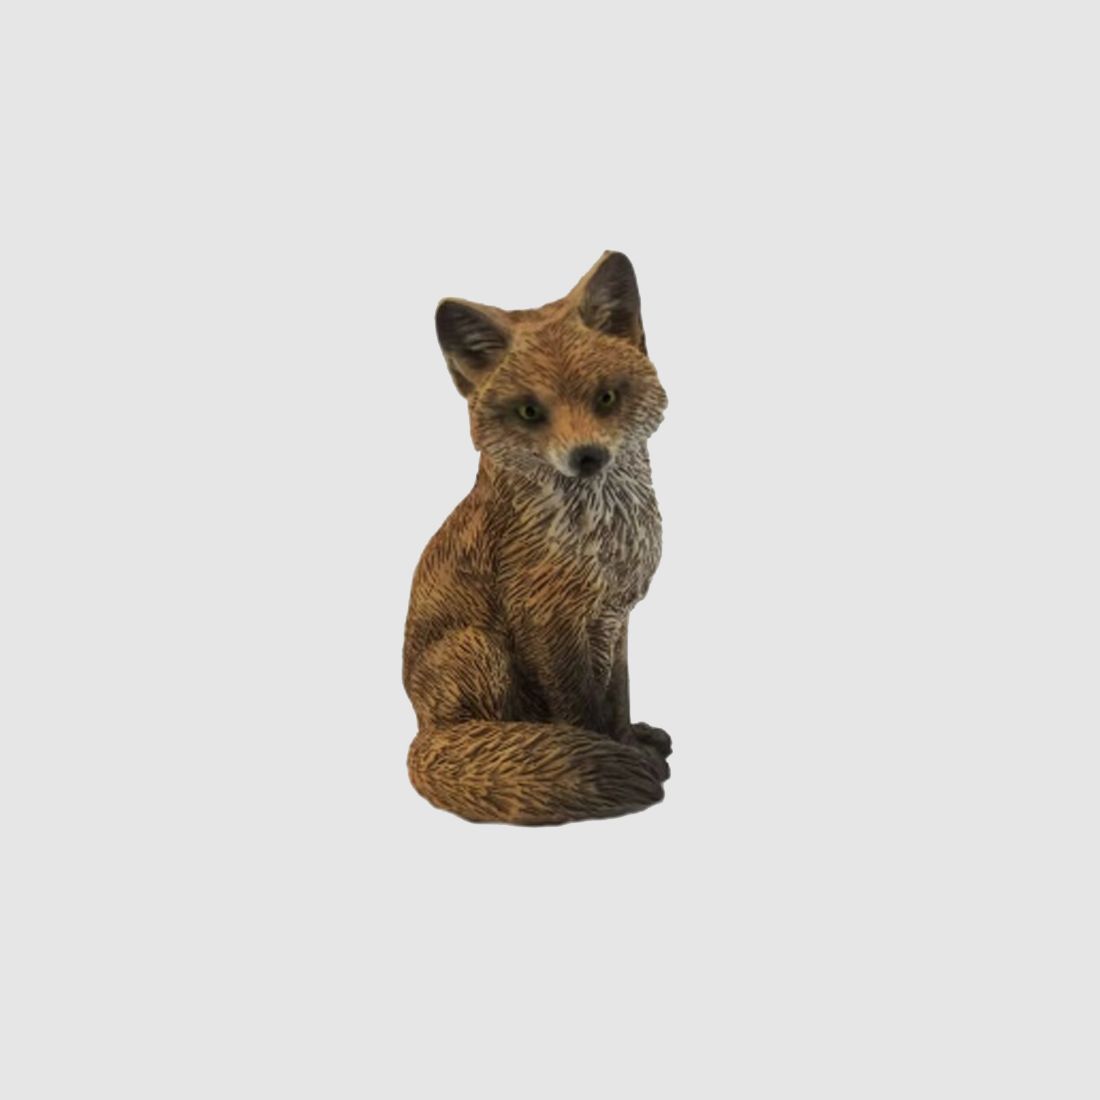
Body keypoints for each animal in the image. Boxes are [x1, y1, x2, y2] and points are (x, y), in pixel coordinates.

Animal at [403, 251, 671, 825]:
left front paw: (627, 739)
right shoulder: (546, 617)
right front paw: (610, 753)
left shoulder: (615, 614)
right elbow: (580, 709)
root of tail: (421, 732)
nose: (587, 457)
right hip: (478, 648)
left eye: (606, 397)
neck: (602, 538)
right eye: (530, 412)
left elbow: (617, 697)